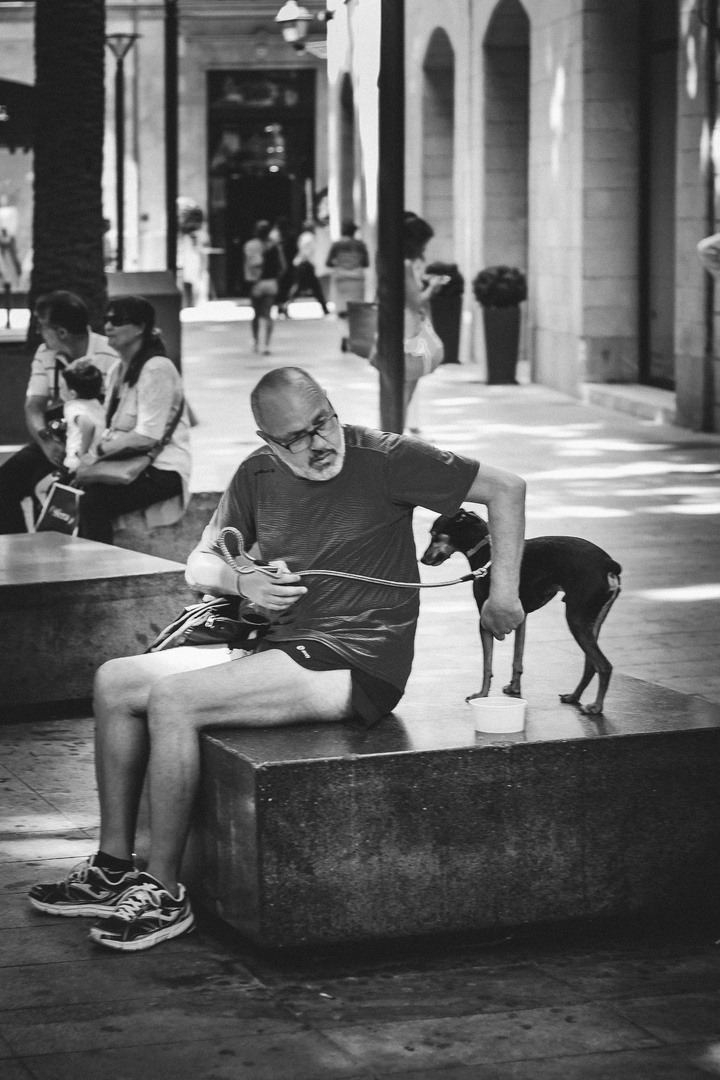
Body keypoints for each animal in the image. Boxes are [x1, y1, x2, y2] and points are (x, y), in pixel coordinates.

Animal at [418, 507, 621, 712]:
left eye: (434, 535)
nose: (422, 559)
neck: (486, 551)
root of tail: (608, 563)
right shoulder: (521, 618)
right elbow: (517, 657)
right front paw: (514, 688)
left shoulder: (484, 621)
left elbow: (487, 666)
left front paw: (481, 695)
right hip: (591, 621)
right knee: (591, 665)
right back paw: (574, 697)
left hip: (577, 619)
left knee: (604, 666)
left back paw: (596, 707)